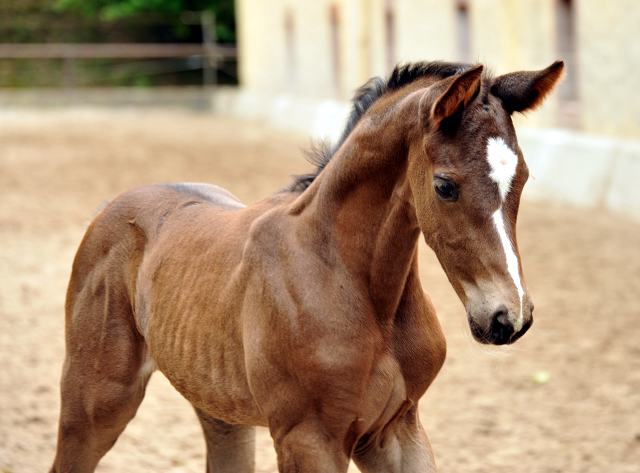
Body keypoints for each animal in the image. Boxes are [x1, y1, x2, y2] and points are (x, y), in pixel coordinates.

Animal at [51, 60, 560, 472]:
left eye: (523, 178)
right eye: (444, 185)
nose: (508, 317)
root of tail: (109, 207)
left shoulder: (396, 430)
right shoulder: (309, 439)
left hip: (220, 409)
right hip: (96, 401)